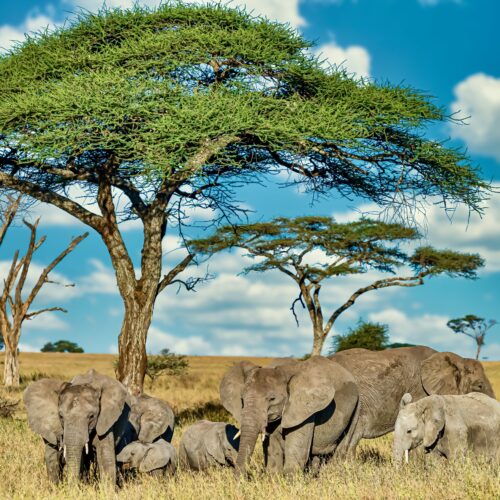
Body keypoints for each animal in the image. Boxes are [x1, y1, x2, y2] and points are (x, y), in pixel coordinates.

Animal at [221, 354, 358, 474]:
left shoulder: (304, 411)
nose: (243, 479)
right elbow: (273, 451)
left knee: (344, 446)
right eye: (242, 399)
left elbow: (297, 454)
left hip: (357, 405)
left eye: (272, 399)